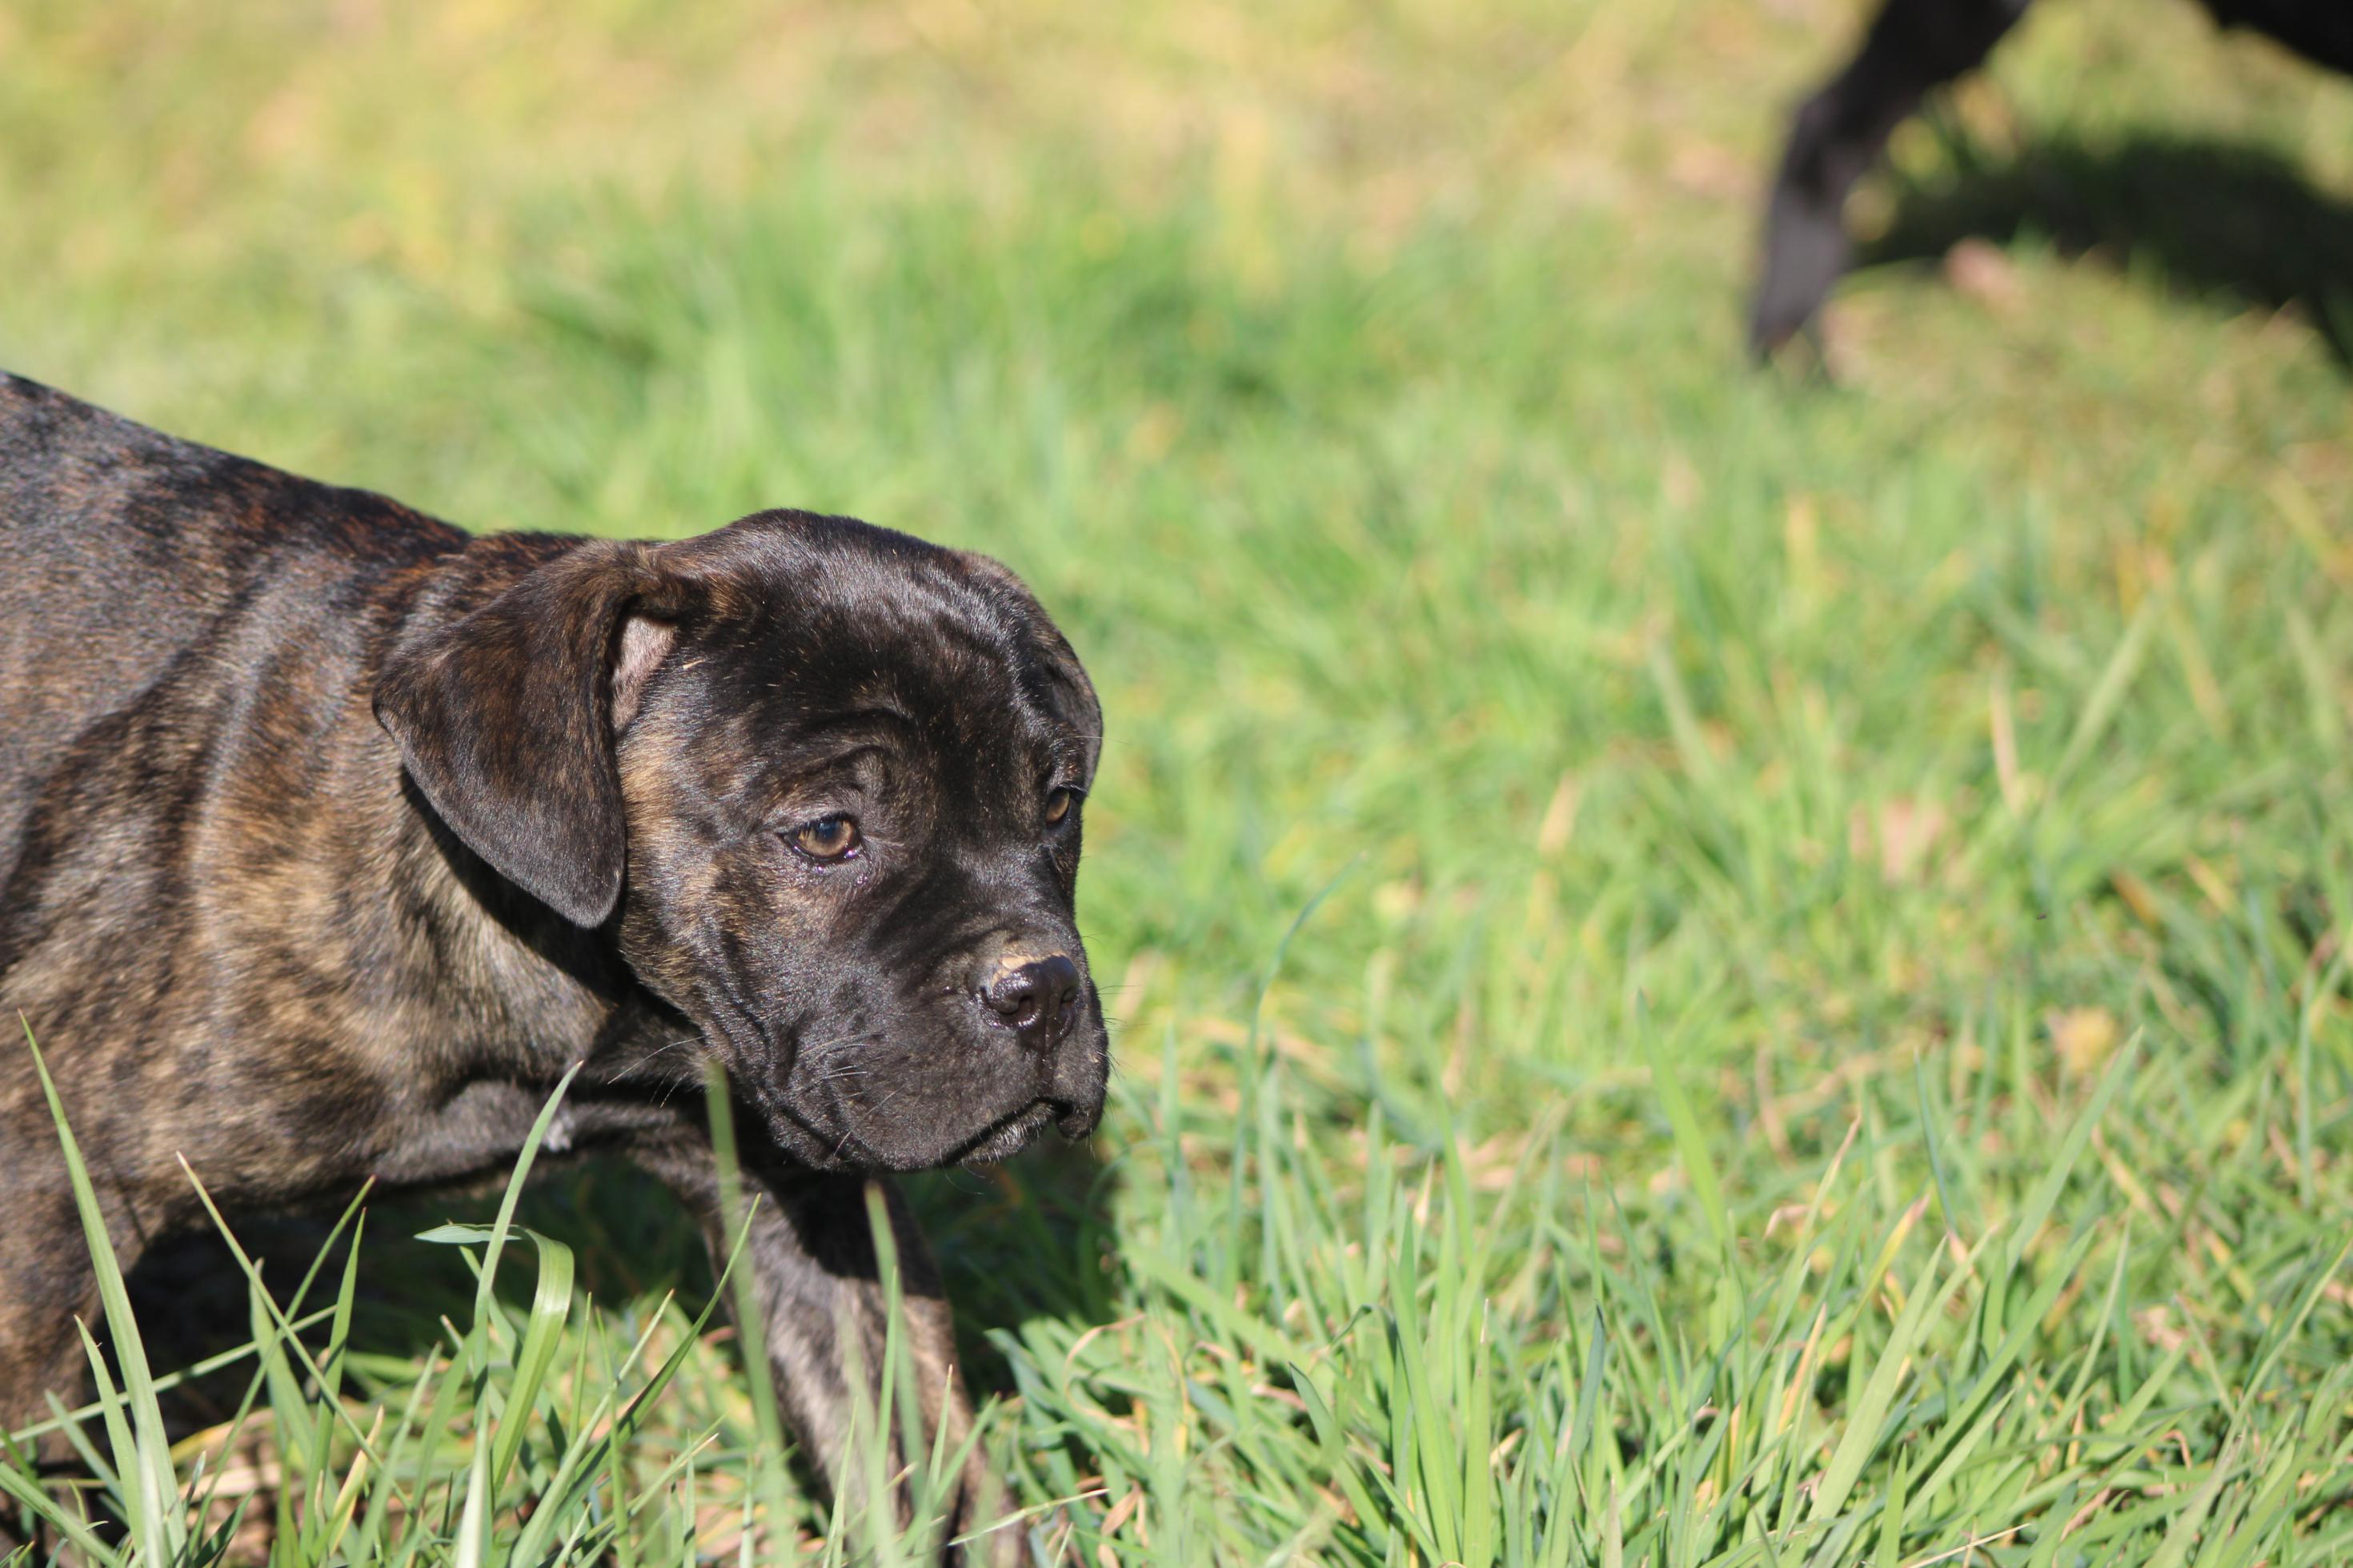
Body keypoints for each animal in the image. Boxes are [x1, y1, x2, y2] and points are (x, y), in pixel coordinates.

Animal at [0, 371, 1105, 1554]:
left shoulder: (814, 1207)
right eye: (826, 833)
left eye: (1057, 804)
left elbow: (928, 1468)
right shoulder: (43, 1208)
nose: (1042, 989)